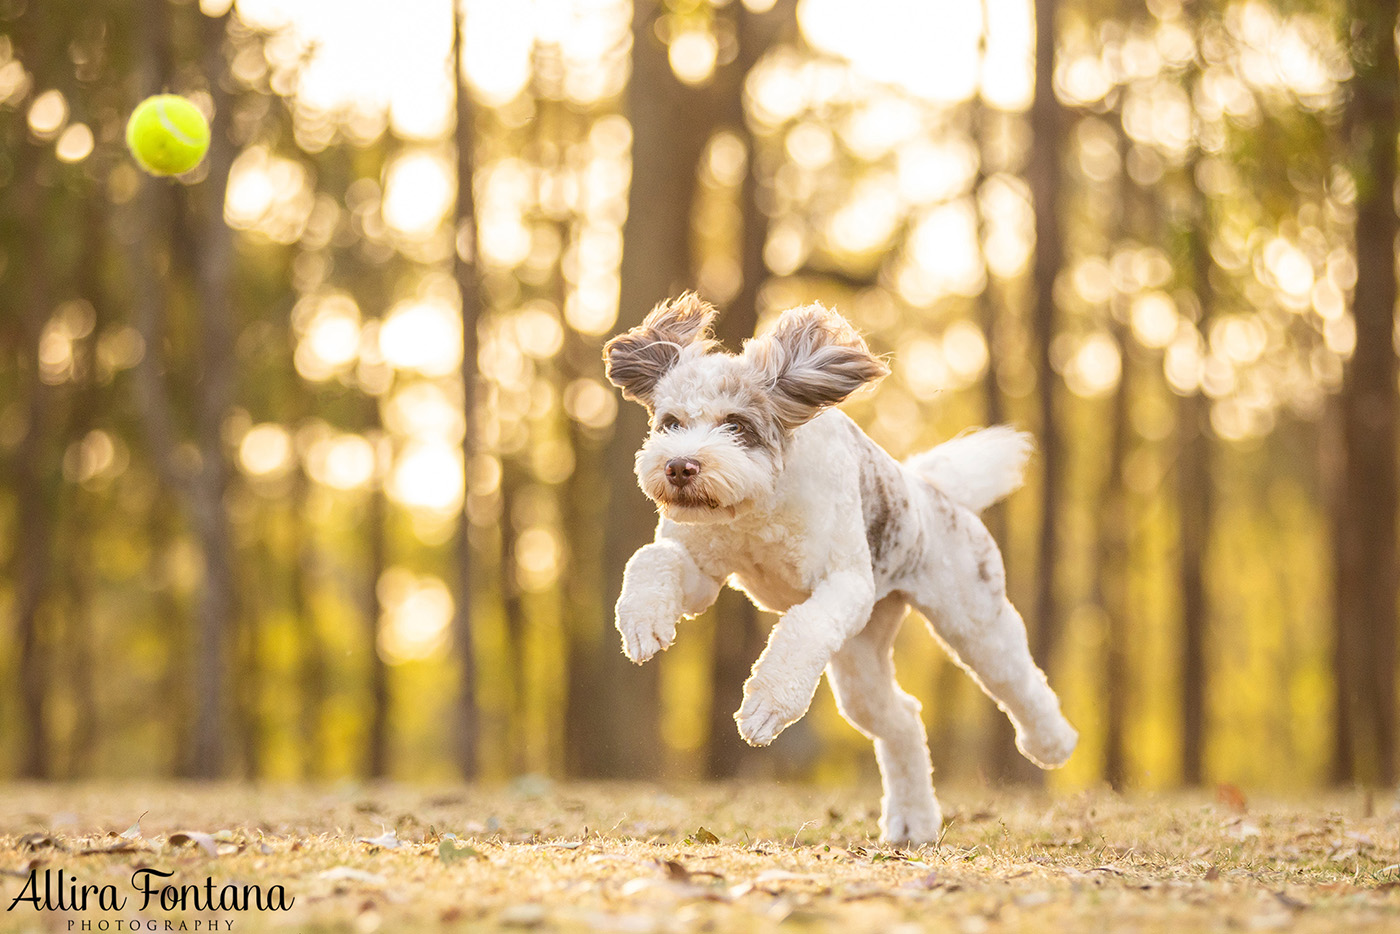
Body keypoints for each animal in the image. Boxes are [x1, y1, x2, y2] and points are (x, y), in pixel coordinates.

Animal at [604, 294, 1080, 845]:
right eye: (671, 423)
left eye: (737, 425)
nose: (680, 466)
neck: (758, 507)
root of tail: (930, 489)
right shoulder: (700, 571)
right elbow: (652, 559)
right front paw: (642, 623)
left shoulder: (844, 585)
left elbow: (802, 630)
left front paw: (764, 706)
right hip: (860, 662)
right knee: (902, 719)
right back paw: (912, 822)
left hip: (973, 621)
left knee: (1017, 679)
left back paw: (1053, 744)